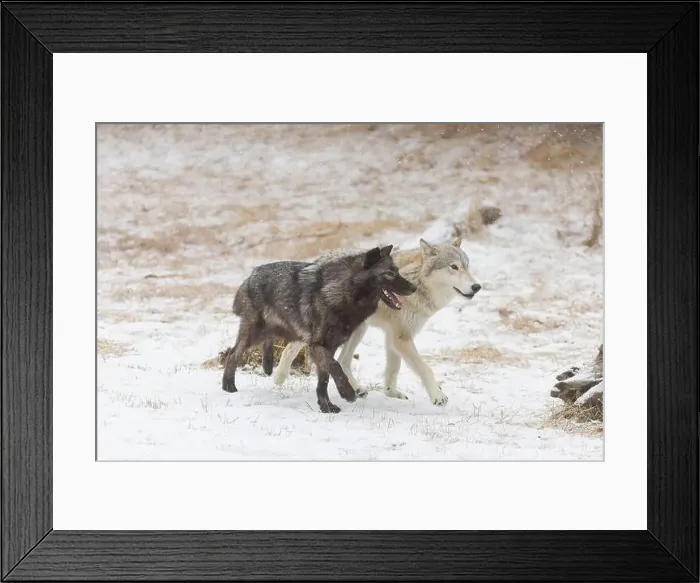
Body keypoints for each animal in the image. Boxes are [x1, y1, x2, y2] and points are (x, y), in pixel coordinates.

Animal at [222, 245, 416, 413]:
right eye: (389, 274)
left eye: (397, 271)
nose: (414, 288)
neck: (342, 293)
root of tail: (251, 275)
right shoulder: (317, 345)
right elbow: (335, 365)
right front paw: (347, 392)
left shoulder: (329, 347)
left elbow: (324, 379)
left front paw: (326, 406)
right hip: (254, 333)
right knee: (233, 354)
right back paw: (228, 386)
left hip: (272, 331)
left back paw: (265, 367)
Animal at [269, 237, 481, 406]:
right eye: (454, 267)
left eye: (468, 266)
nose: (476, 286)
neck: (418, 284)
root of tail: (318, 261)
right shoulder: (401, 338)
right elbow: (425, 368)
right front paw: (438, 396)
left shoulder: (394, 337)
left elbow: (394, 368)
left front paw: (391, 393)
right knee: (294, 348)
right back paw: (279, 378)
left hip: (356, 330)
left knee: (342, 360)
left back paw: (356, 389)